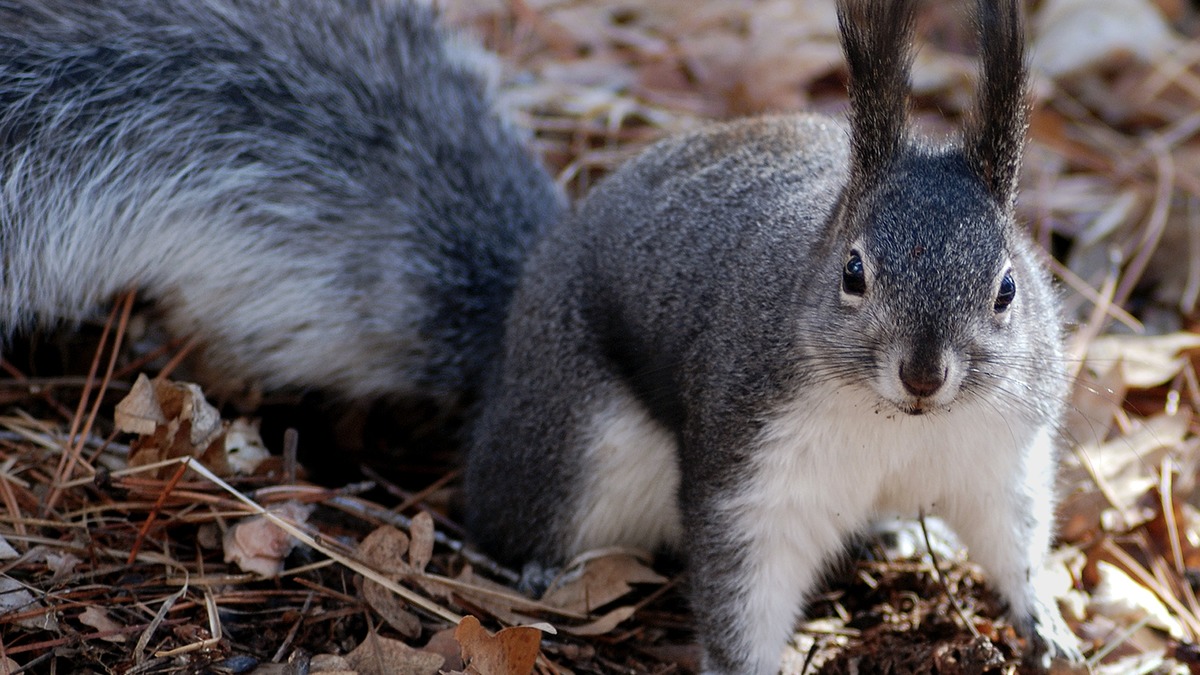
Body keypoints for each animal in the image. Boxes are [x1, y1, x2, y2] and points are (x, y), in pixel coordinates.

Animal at [0, 1, 1084, 672]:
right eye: (853, 273)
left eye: (1008, 287)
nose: (924, 372)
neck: (898, 428)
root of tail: (516, 322)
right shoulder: (754, 461)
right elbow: (742, 583)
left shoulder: (1002, 452)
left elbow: (1015, 538)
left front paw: (1051, 626)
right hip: (580, 444)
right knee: (510, 509)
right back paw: (538, 569)